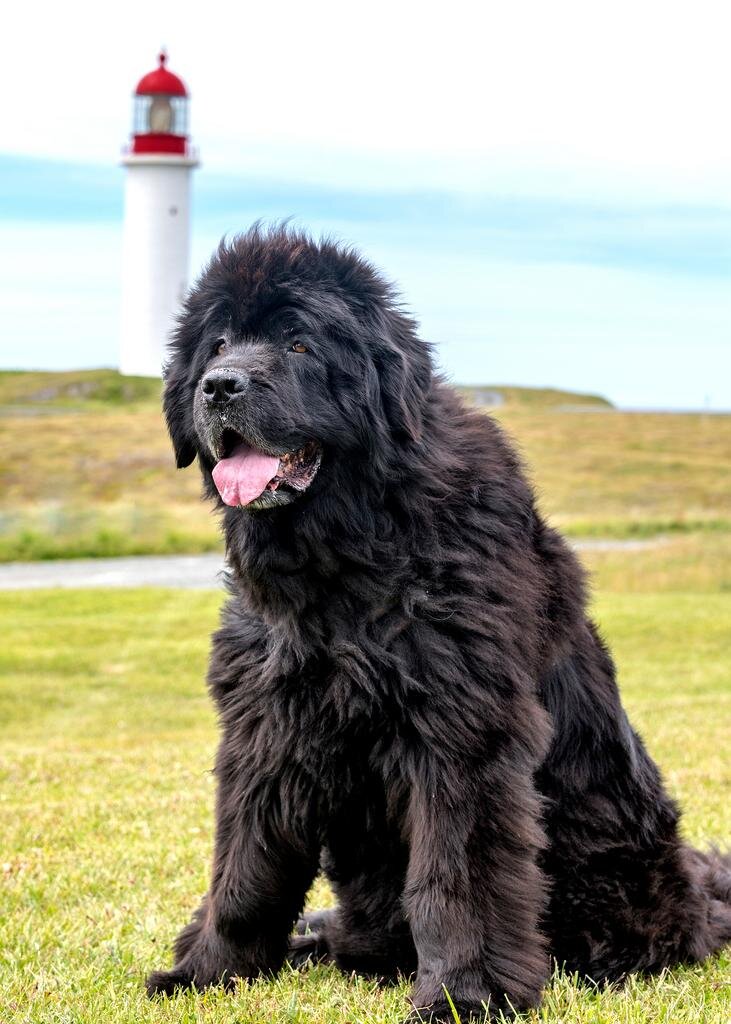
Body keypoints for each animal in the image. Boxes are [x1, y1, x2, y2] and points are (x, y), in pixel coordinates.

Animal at [143, 226, 728, 1024]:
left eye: (299, 342)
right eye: (219, 342)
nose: (220, 386)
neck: (348, 561)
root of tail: (697, 903)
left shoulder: (458, 730)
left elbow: (456, 880)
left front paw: (465, 994)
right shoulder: (267, 727)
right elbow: (243, 869)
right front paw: (206, 971)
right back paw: (315, 940)